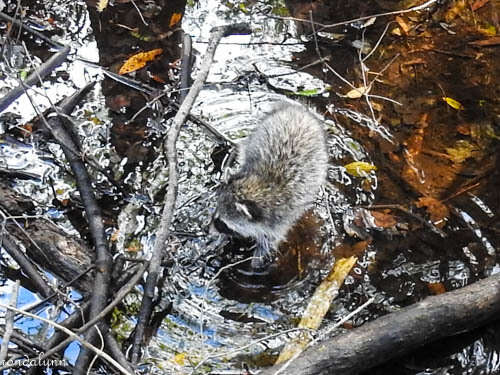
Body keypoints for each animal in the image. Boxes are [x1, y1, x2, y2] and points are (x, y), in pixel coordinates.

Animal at [214, 101, 328, 268]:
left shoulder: (280, 221)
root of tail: (301, 111)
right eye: (216, 215)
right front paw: (223, 238)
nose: (208, 230)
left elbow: (269, 241)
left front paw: (255, 261)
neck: (262, 187)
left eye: (222, 223)